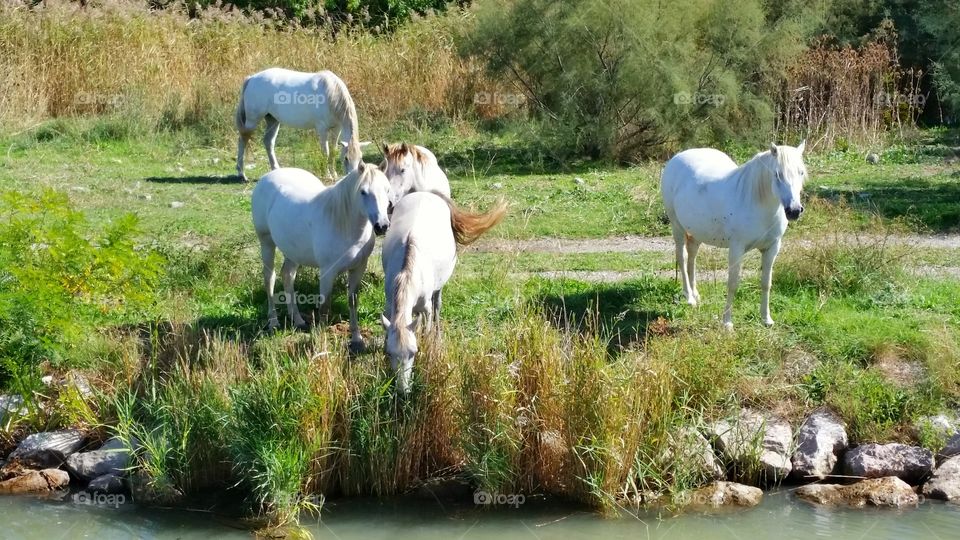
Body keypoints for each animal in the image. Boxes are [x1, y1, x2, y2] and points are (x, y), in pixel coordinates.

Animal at [234, 68, 370, 179]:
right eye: (346, 158)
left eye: (361, 158)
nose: (354, 175)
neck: (331, 94)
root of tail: (252, 78)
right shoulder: (322, 128)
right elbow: (325, 152)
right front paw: (328, 175)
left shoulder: (336, 128)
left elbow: (333, 151)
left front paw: (334, 174)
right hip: (252, 120)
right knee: (243, 140)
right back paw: (241, 173)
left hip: (273, 120)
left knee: (268, 141)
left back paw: (275, 168)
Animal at [255, 162, 394, 352]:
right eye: (363, 192)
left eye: (387, 189)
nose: (382, 226)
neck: (343, 224)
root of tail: (271, 174)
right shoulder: (327, 273)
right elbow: (324, 307)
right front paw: (321, 345)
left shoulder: (358, 268)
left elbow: (353, 301)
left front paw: (357, 339)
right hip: (266, 243)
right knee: (270, 278)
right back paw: (274, 322)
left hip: (293, 252)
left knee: (287, 275)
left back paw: (298, 320)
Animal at [380, 193, 506, 392]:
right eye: (389, 352)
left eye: (413, 352)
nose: (403, 390)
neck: (408, 270)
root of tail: (427, 193)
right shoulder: (389, 306)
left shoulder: (426, 308)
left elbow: (428, 326)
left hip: (439, 289)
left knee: (437, 307)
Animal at [656, 141, 808, 332]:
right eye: (777, 174)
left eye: (801, 172)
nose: (794, 211)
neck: (756, 201)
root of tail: (677, 157)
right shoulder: (737, 248)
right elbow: (733, 283)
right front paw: (727, 323)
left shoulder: (772, 248)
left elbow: (766, 282)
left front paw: (766, 319)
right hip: (677, 226)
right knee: (682, 258)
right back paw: (689, 297)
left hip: (697, 231)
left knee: (692, 256)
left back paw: (696, 294)